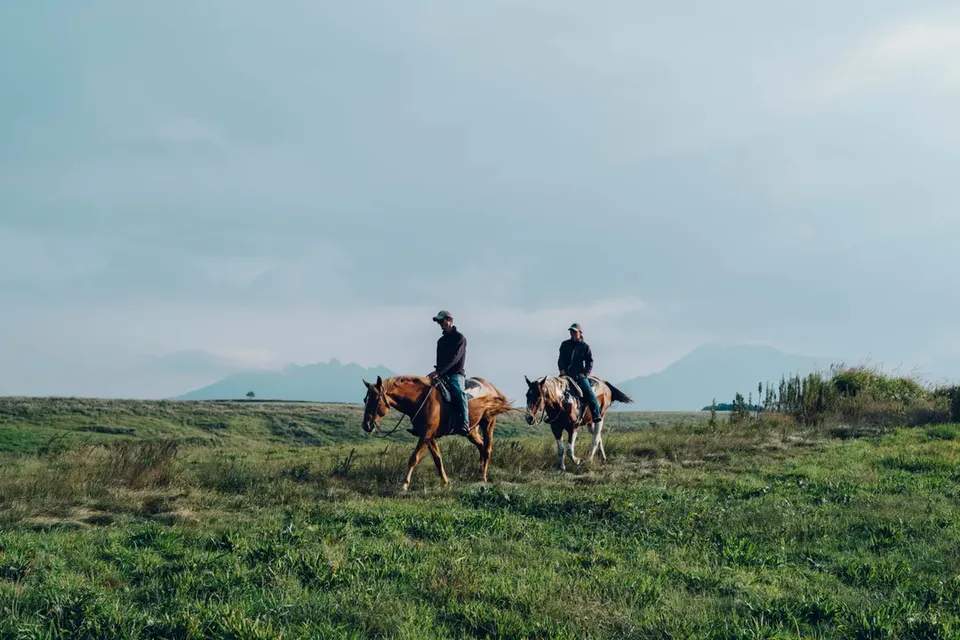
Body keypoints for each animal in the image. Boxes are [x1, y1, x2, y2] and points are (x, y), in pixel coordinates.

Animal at [360, 372, 512, 492]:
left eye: (375, 399)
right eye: (365, 399)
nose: (366, 425)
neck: (420, 400)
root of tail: (490, 387)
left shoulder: (426, 435)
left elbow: (414, 458)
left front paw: (404, 484)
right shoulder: (429, 437)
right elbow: (438, 459)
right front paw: (445, 482)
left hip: (488, 422)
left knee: (487, 449)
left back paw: (483, 477)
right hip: (471, 430)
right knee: (481, 445)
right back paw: (479, 475)